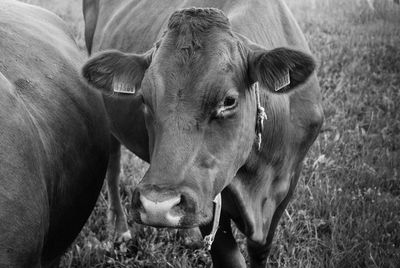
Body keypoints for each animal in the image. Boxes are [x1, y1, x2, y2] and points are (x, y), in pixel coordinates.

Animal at [83, 1, 324, 266]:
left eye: (228, 101)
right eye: (144, 99)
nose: (157, 205)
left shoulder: (287, 183)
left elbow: (261, 251)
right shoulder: (212, 197)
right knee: (113, 167)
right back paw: (119, 229)